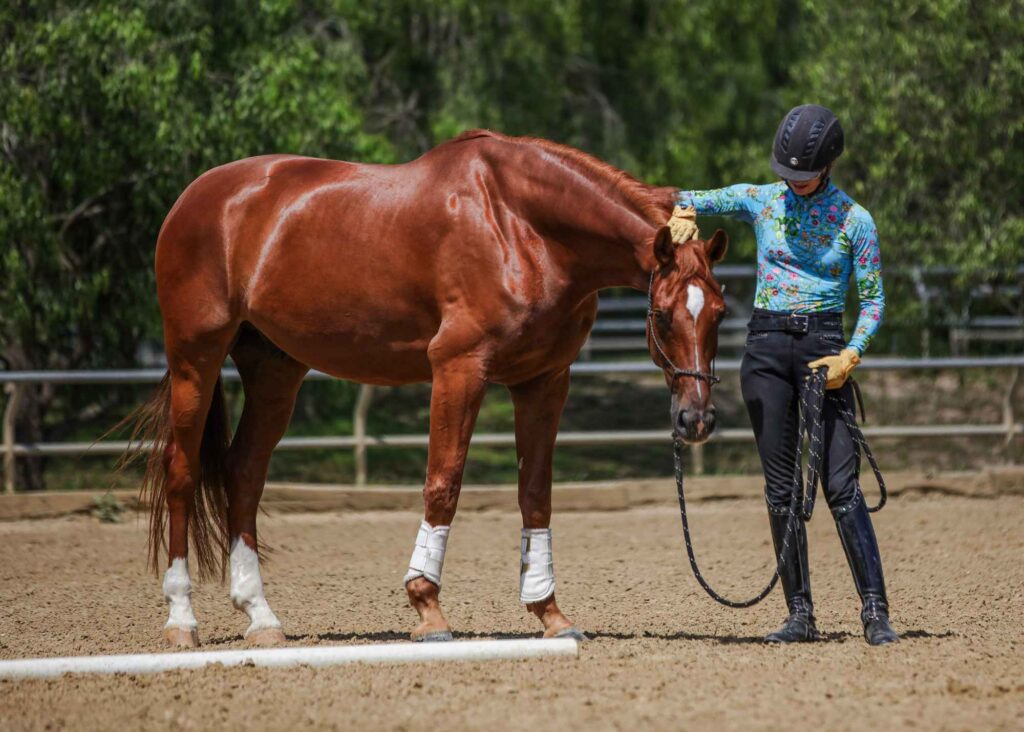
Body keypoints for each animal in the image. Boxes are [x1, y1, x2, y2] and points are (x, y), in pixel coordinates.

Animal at [129, 129, 728, 647]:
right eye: (661, 314)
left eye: (719, 312)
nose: (695, 420)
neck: (520, 225)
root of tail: (198, 196)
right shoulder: (458, 368)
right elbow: (443, 484)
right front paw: (428, 608)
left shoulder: (543, 381)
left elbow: (536, 494)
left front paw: (550, 614)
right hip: (196, 358)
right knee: (182, 472)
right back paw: (181, 619)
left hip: (275, 370)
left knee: (244, 474)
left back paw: (261, 616)